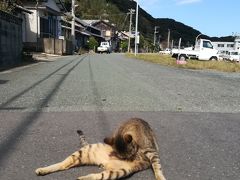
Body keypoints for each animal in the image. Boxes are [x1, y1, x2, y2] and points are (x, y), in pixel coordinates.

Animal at [34, 118, 166, 179]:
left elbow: (157, 167)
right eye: (126, 156)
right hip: (81, 153)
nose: (130, 158)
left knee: (97, 176)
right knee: (62, 164)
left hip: (119, 172)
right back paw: (42, 170)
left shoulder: (152, 151)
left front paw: (160, 177)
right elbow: (157, 165)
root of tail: (103, 163)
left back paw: (82, 178)